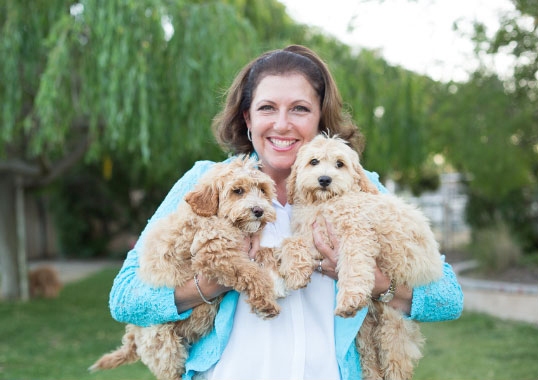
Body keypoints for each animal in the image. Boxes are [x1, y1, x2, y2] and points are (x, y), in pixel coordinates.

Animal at [89, 155, 280, 380]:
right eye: (238, 191)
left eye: (262, 190)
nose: (259, 210)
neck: (219, 218)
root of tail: (133, 333)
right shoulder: (214, 253)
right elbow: (252, 272)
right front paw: (266, 302)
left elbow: (265, 255)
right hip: (165, 346)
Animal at [278, 135, 442, 380]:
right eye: (314, 161)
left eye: (340, 164)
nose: (324, 179)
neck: (325, 203)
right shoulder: (312, 234)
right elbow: (292, 243)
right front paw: (296, 272)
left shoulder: (356, 234)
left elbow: (353, 267)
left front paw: (348, 299)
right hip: (366, 331)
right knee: (370, 358)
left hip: (393, 328)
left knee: (396, 364)